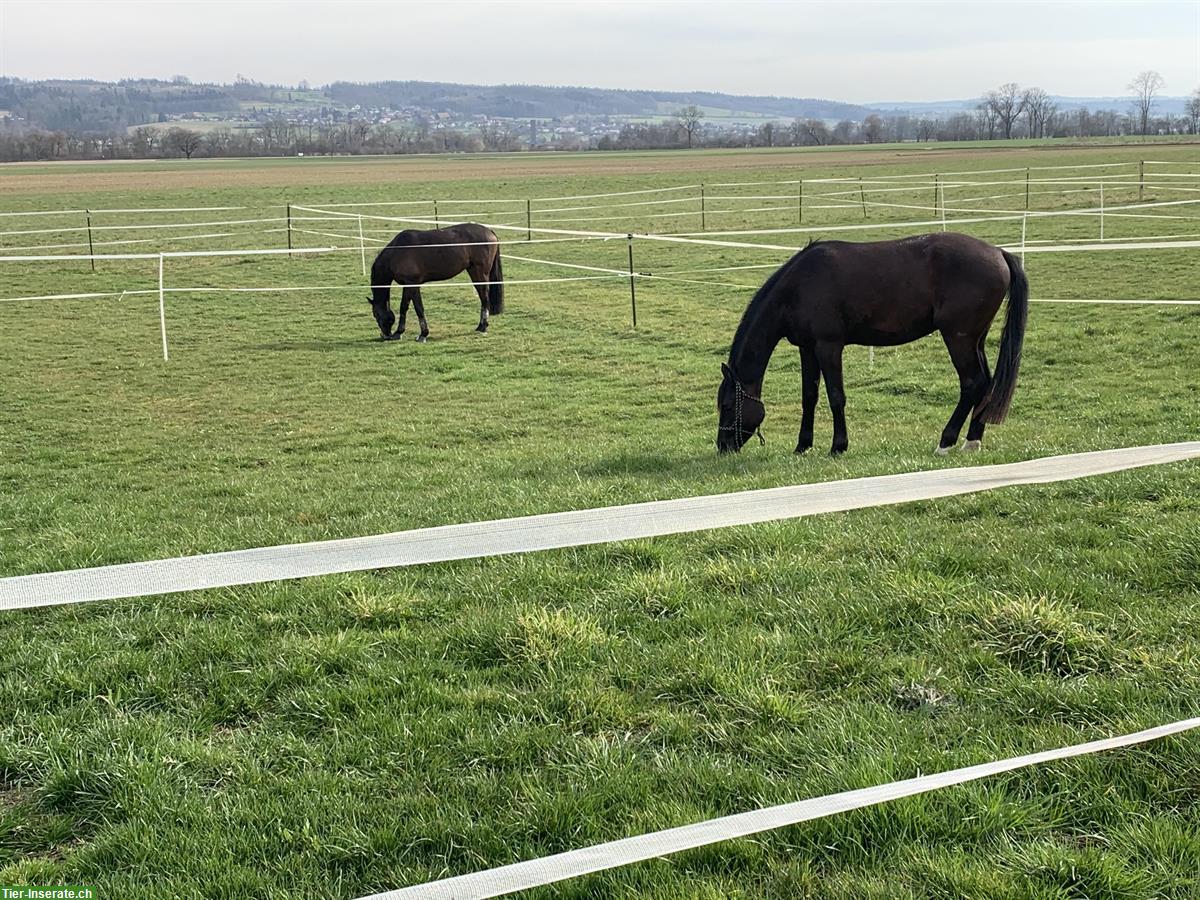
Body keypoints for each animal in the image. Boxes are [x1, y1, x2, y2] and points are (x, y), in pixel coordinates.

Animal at [367, 224, 504, 343]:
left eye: (375, 314)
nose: (385, 335)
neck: (396, 252)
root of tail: (489, 231)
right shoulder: (407, 285)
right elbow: (404, 307)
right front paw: (399, 332)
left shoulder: (413, 284)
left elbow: (418, 308)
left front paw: (423, 334)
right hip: (473, 271)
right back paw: (480, 326)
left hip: (480, 273)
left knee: (484, 298)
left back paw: (483, 326)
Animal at [715, 232, 1027, 458]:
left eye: (728, 405)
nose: (723, 446)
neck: (799, 286)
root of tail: (999, 253)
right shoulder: (807, 349)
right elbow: (809, 397)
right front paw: (803, 445)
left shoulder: (829, 347)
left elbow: (836, 396)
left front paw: (838, 446)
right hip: (976, 340)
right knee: (985, 384)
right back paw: (972, 441)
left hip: (958, 339)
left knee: (972, 383)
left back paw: (946, 442)